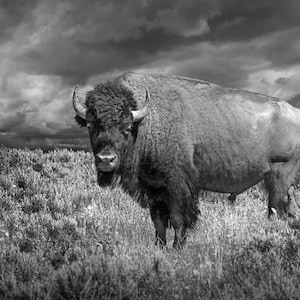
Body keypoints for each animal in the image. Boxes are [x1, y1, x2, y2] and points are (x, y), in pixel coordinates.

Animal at [72, 72, 300, 248]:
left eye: (126, 128)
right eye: (91, 126)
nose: (106, 159)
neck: (147, 121)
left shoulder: (177, 186)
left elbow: (178, 219)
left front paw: (177, 247)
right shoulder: (154, 188)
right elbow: (158, 221)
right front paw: (159, 247)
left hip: (280, 175)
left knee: (276, 210)